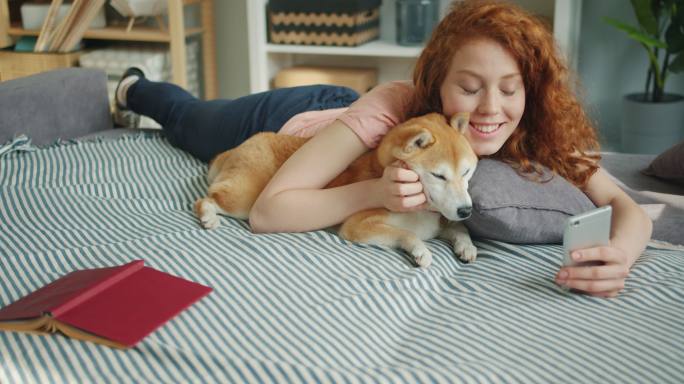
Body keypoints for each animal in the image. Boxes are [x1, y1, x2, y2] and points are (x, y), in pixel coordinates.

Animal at [195, 112, 478, 268]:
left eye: (466, 171)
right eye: (438, 175)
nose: (467, 210)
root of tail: (243, 144)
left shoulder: (442, 221)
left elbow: (458, 229)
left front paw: (466, 246)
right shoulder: (358, 226)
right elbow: (407, 234)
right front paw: (420, 250)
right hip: (245, 200)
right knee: (206, 199)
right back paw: (208, 216)